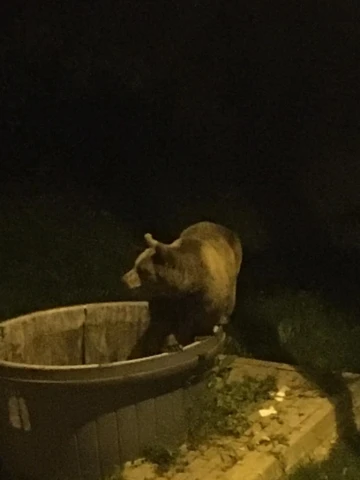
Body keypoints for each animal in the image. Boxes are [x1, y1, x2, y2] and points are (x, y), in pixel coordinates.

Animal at [121, 223, 242, 354]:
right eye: (135, 264)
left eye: (142, 270)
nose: (124, 280)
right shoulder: (165, 298)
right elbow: (163, 321)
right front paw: (171, 344)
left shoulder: (207, 293)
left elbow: (206, 314)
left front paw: (201, 334)